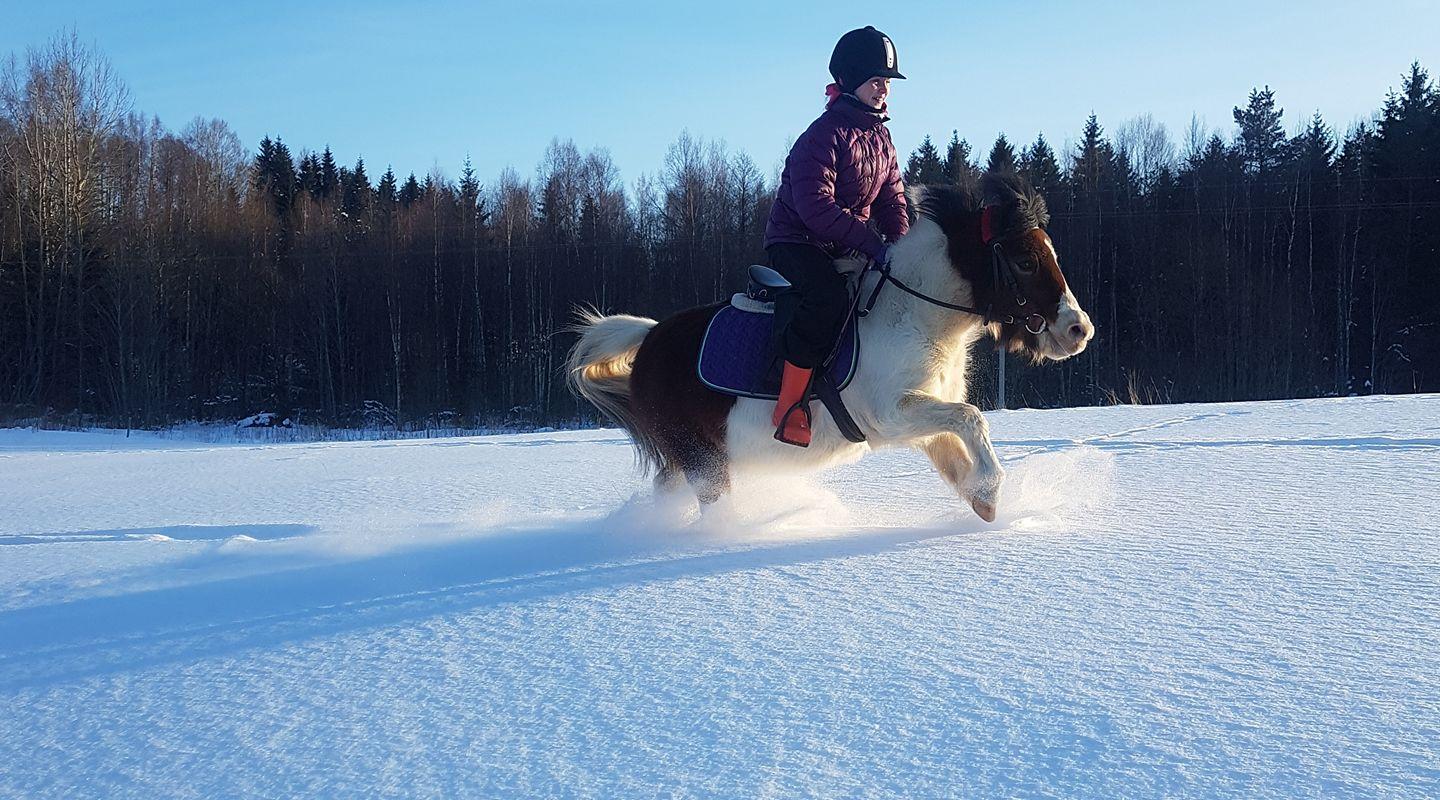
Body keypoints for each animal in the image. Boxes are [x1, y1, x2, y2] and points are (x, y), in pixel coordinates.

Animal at [561, 171, 1088, 520]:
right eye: (1024, 259)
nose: (1079, 330)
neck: (912, 312)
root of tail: (650, 337)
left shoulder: (920, 418)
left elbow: (959, 448)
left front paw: (983, 500)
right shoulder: (891, 414)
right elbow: (973, 418)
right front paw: (993, 491)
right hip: (700, 457)